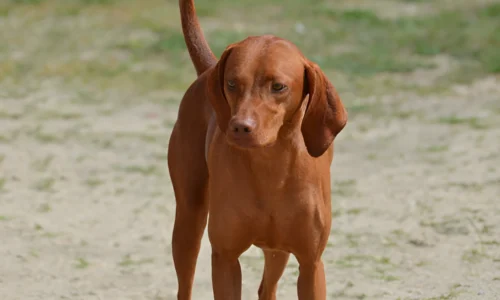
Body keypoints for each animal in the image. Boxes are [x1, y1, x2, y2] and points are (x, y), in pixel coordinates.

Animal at [168, 1, 348, 298]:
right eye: (231, 83)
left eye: (278, 86)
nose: (240, 127)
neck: (270, 166)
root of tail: (208, 68)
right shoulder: (225, 258)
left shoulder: (310, 264)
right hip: (188, 221)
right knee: (185, 284)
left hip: (278, 250)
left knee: (267, 288)